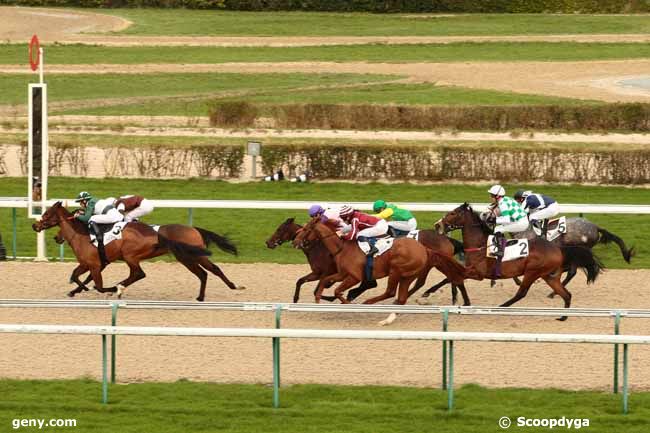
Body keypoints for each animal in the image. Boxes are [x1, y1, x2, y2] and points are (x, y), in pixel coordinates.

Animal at [32, 202, 243, 300]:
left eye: (47, 213)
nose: (35, 225)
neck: (81, 234)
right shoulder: (91, 263)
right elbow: (76, 276)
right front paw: (74, 290)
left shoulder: (94, 264)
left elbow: (96, 284)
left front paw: (108, 289)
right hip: (187, 257)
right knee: (206, 272)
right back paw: (207, 295)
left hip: (133, 256)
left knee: (139, 273)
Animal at [438, 202, 600, 318]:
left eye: (453, 213)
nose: (438, 224)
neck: (481, 245)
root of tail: (558, 249)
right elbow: (452, 278)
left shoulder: (478, 273)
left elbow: (452, 278)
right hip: (549, 275)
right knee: (566, 294)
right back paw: (563, 315)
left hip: (532, 272)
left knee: (521, 293)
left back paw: (501, 307)